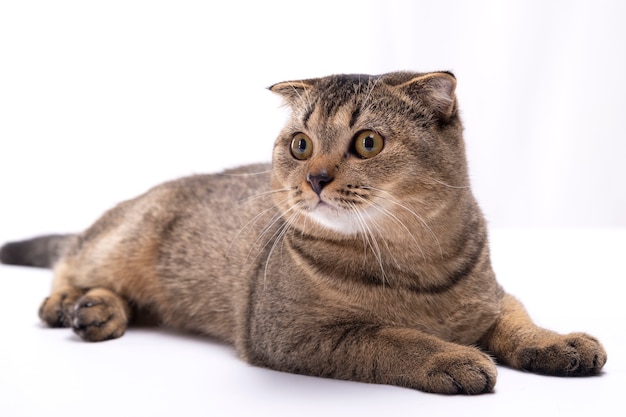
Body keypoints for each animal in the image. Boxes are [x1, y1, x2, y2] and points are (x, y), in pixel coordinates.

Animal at [0, 70, 604, 394]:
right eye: (300, 144)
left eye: (368, 143)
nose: (314, 177)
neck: (415, 261)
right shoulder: (295, 335)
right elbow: (394, 338)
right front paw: (451, 358)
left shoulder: (494, 299)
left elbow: (520, 322)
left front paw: (558, 342)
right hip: (122, 241)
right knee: (71, 261)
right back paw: (75, 305)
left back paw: (99, 310)